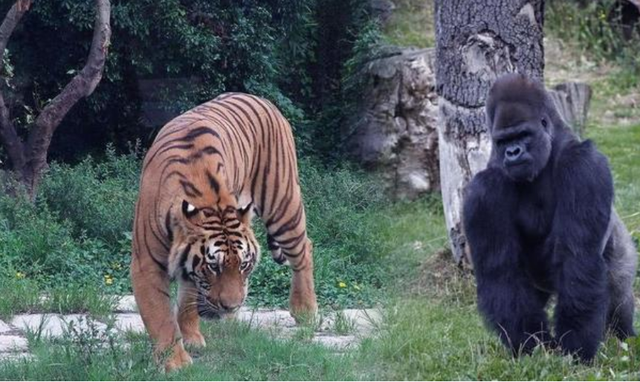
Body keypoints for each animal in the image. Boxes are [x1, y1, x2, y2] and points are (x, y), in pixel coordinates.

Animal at [130, 92, 318, 370]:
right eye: (213, 267)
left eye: (244, 265)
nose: (231, 307)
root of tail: (262, 99)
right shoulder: (147, 263)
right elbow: (162, 314)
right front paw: (178, 358)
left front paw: (181, 351)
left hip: (283, 203)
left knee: (304, 249)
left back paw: (305, 310)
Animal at [462, 73, 636, 362]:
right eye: (503, 141)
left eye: (523, 135)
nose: (513, 152)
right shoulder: (482, 192)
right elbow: (501, 272)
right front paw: (532, 347)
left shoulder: (584, 165)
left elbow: (578, 259)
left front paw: (575, 349)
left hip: (621, 247)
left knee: (618, 291)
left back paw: (624, 336)